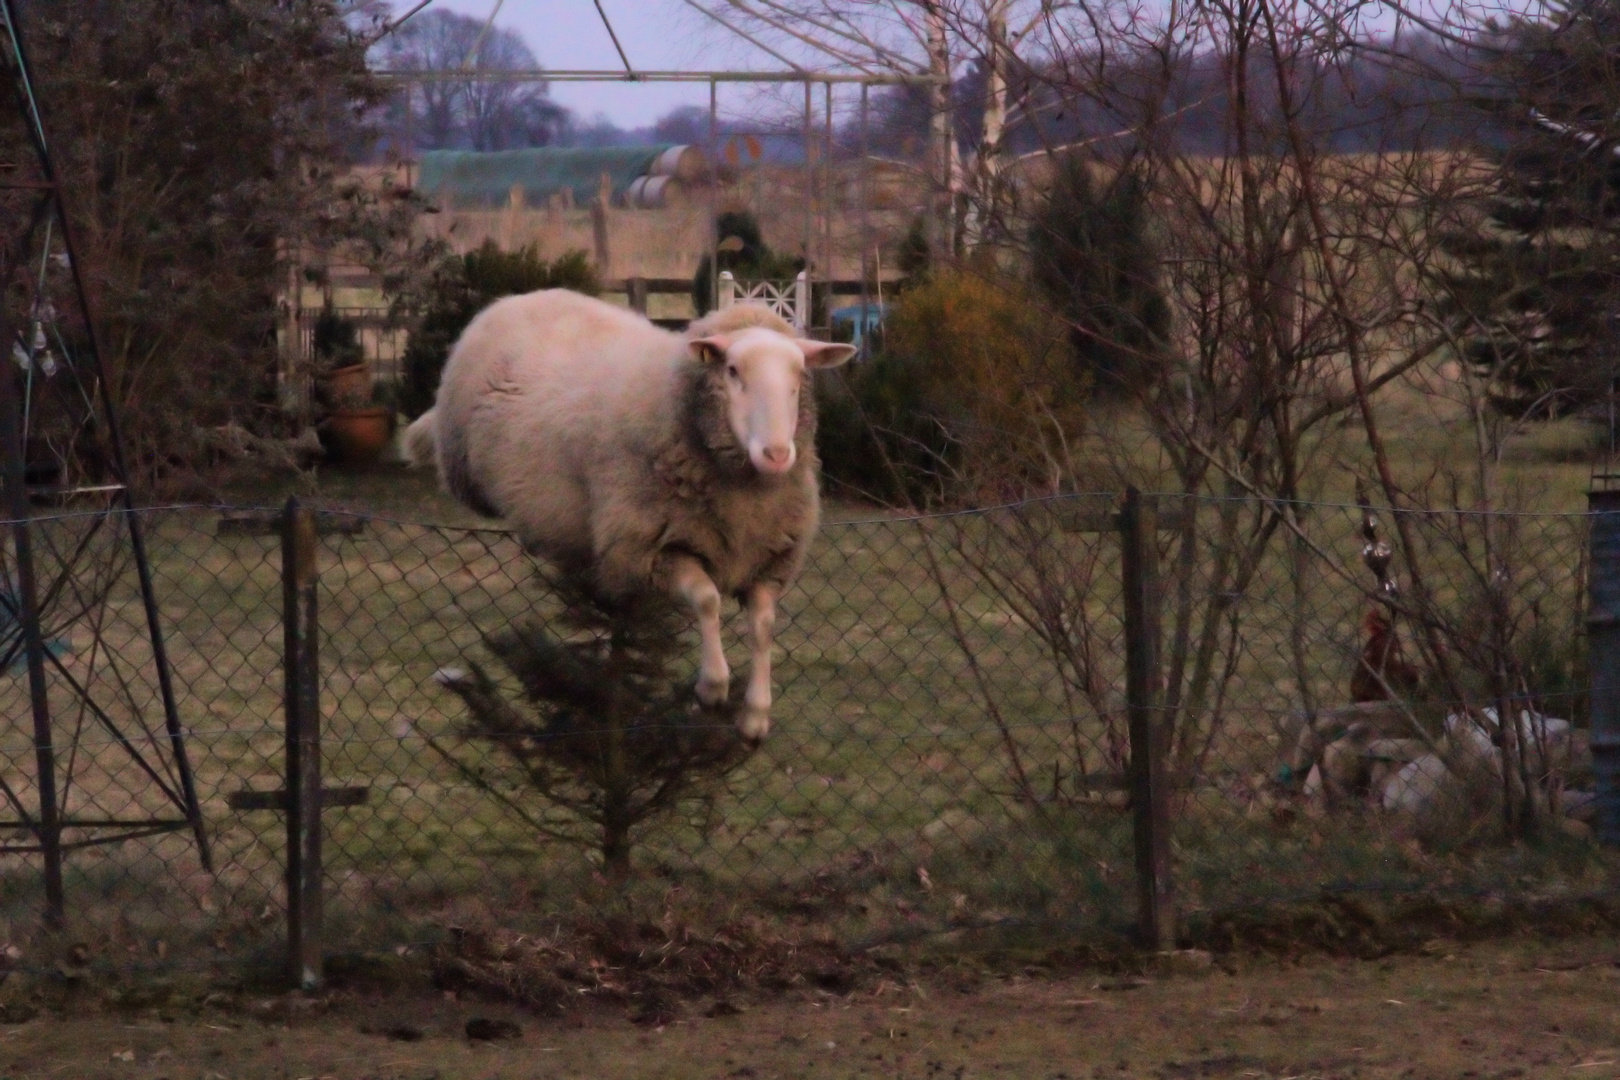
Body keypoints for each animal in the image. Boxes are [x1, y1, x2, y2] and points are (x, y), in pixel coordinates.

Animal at [403, 291, 855, 738]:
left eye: (800, 376)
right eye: (732, 370)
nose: (777, 454)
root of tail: (515, 299)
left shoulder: (769, 560)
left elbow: (763, 627)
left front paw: (756, 715)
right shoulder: (650, 548)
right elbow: (707, 600)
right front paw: (712, 688)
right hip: (465, 470)